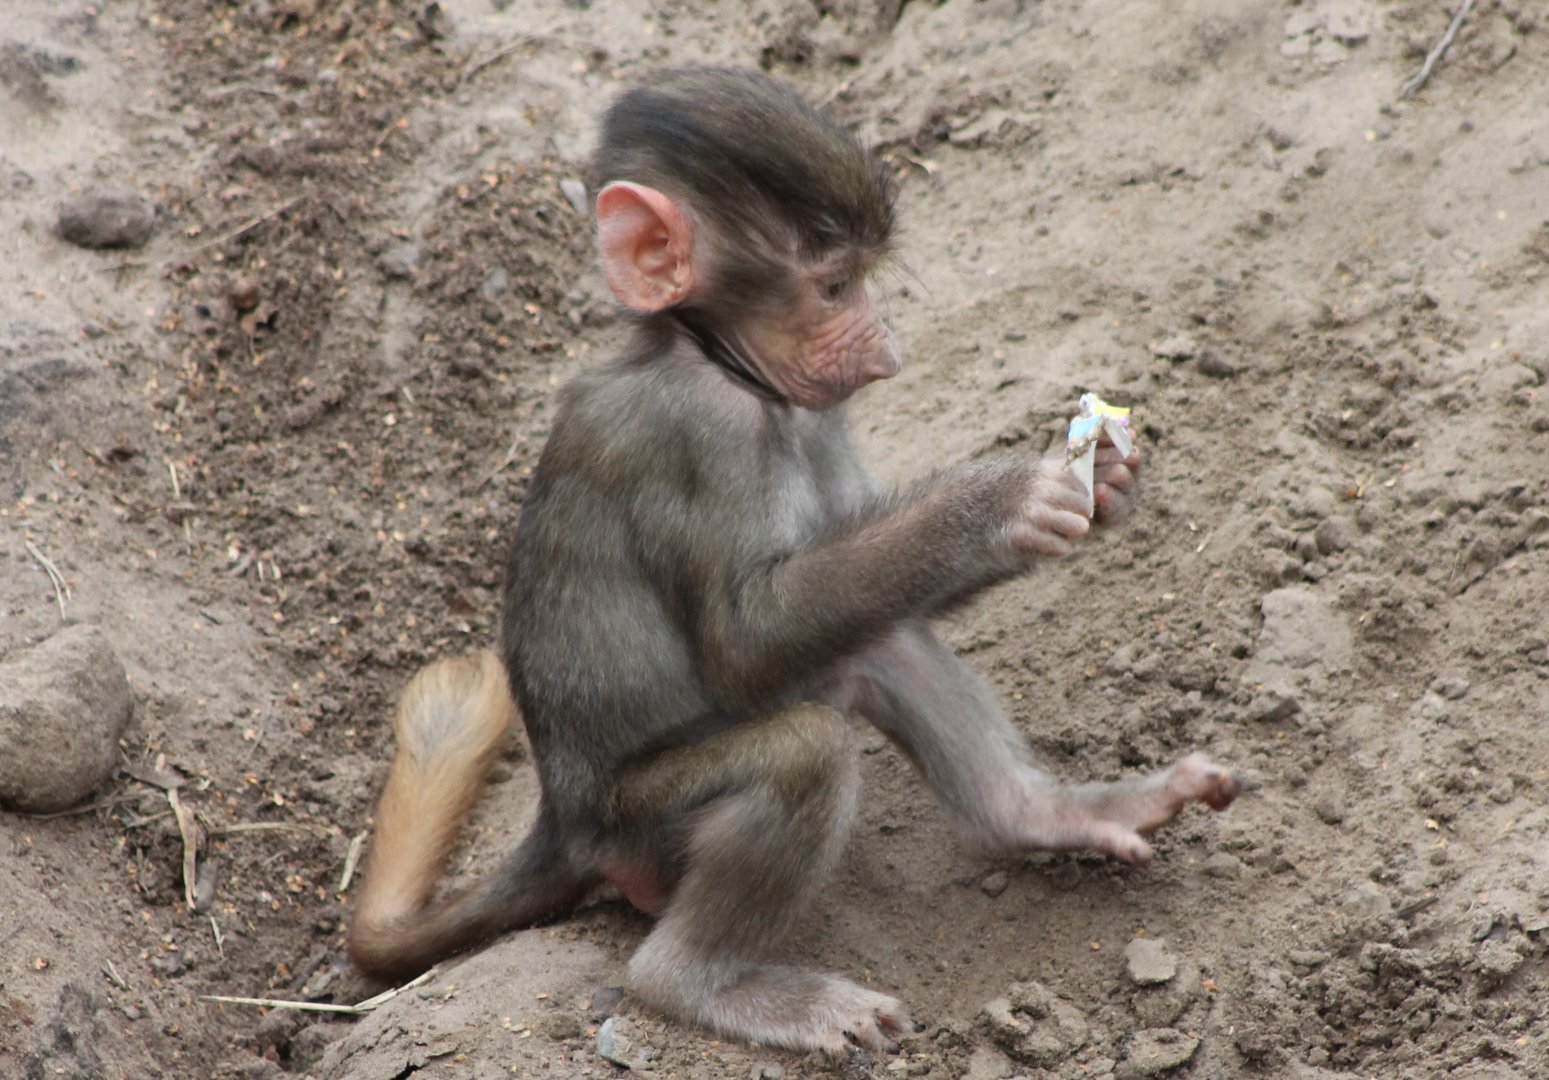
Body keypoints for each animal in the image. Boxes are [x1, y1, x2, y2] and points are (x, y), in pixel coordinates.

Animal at [348, 67, 1241, 1055]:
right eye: (834, 286)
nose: (887, 352)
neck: (716, 361)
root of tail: (564, 819)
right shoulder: (698, 435)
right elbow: (745, 640)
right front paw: (1005, 501)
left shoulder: (815, 415)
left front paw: (1105, 478)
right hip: (642, 826)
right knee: (800, 751)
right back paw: (700, 985)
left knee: (879, 634)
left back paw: (1041, 815)